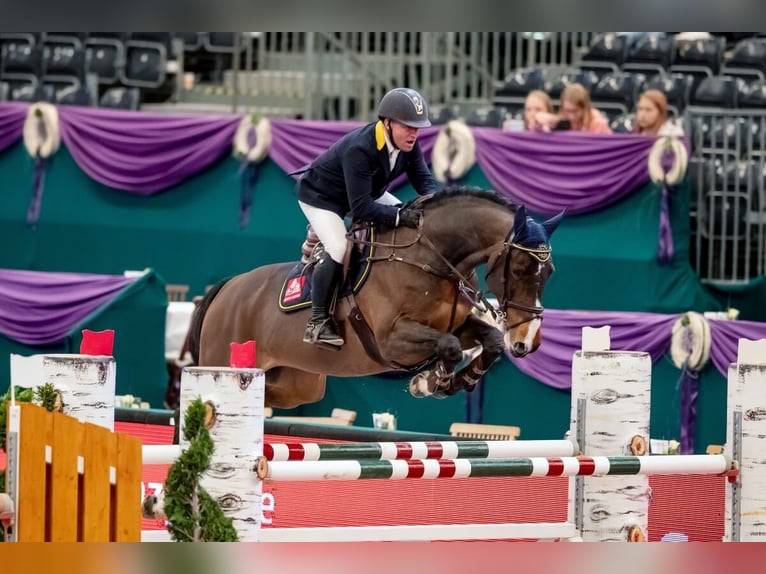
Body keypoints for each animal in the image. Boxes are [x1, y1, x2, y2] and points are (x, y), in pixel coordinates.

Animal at [190, 188, 568, 410]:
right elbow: (448, 346)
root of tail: (228, 288)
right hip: (224, 359)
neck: (429, 258)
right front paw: (431, 380)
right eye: (519, 268)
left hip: (297, 384)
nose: (528, 342)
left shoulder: (457, 325)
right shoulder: (391, 340)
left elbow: (489, 341)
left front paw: (450, 381)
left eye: (550, 271)